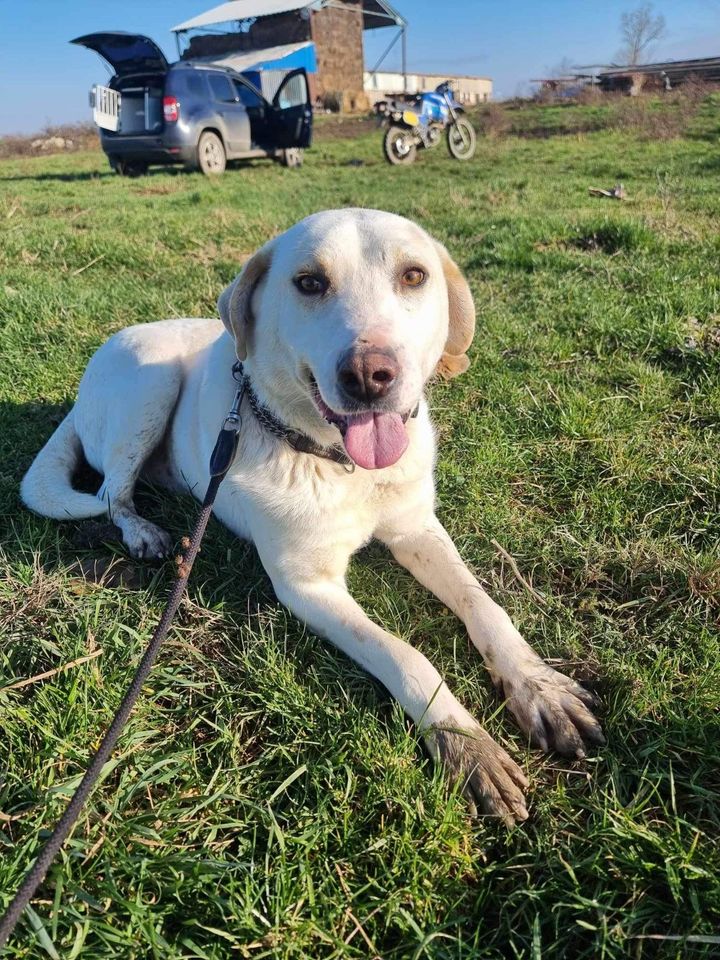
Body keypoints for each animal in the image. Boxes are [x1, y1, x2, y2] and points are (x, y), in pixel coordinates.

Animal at [21, 206, 600, 820]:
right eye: (309, 282)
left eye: (414, 276)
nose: (369, 375)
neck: (344, 466)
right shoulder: (307, 586)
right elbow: (405, 655)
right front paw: (464, 742)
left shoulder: (418, 529)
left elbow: (485, 607)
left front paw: (539, 687)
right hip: (150, 379)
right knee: (114, 490)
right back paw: (143, 533)